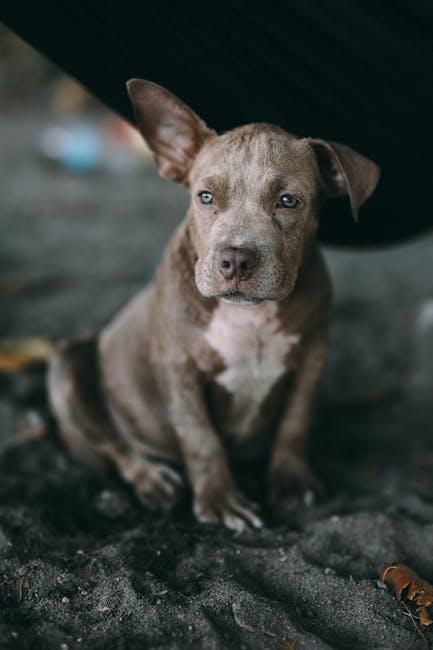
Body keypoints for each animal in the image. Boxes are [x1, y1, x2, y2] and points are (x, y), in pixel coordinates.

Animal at [48, 79, 378, 532]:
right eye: (205, 196)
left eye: (289, 201)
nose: (236, 258)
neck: (249, 316)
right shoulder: (178, 368)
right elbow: (200, 435)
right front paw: (221, 501)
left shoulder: (312, 357)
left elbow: (295, 421)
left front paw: (291, 481)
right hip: (68, 366)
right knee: (115, 446)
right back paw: (151, 479)